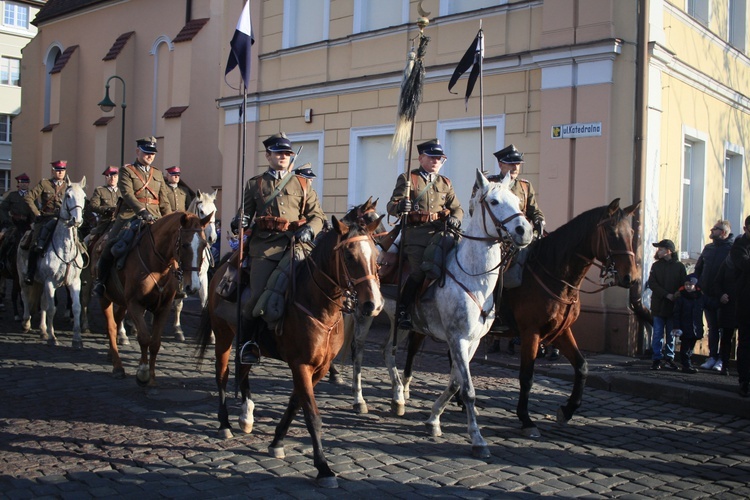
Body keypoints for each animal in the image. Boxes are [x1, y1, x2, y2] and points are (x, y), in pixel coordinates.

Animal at [17, 179, 87, 348]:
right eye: (68, 196)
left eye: (84, 197)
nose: (77, 220)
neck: (65, 249)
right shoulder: (50, 282)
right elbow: (51, 309)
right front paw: (52, 337)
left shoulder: (75, 282)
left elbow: (76, 308)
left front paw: (77, 339)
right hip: (23, 277)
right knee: (25, 295)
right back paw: (26, 323)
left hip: (40, 282)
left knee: (42, 302)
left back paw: (42, 330)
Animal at [98, 210, 213, 382]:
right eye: (185, 245)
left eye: (204, 245)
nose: (192, 286)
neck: (157, 266)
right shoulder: (135, 304)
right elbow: (145, 337)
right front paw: (143, 371)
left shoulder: (164, 307)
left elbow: (155, 342)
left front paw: (151, 376)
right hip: (105, 297)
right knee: (111, 326)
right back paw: (117, 366)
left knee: (117, 320)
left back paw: (112, 352)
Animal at [172, 189, 216, 342]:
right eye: (201, 211)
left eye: (214, 210)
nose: (213, 238)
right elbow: (178, 303)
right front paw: (178, 329)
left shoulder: (201, 277)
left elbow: (205, 302)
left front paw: (211, 334)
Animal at [197, 203, 384, 488]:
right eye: (350, 257)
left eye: (375, 255)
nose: (373, 304)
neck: (320, 306)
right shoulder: (301, 365)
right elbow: (312, 415)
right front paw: (323, 468)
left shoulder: (319, 367)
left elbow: (296, 403)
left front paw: (277, 440)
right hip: (223, 336)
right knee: (222, 376)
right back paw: (225, 424)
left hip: (246, 343)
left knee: (243, 369)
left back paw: (246, 415)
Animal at [344, 171, 532, 458]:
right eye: (495, 201)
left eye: (517, 201)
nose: (525, 230)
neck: (473, 277)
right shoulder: (457, 338)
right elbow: (468, 389)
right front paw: (477, 439)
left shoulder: (472, 341)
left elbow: (455, 383)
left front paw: (433, 419)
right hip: (365, 313)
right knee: (359, 351)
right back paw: (359, 399)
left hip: (400, 321)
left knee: (388, 351)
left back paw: (398, 398)